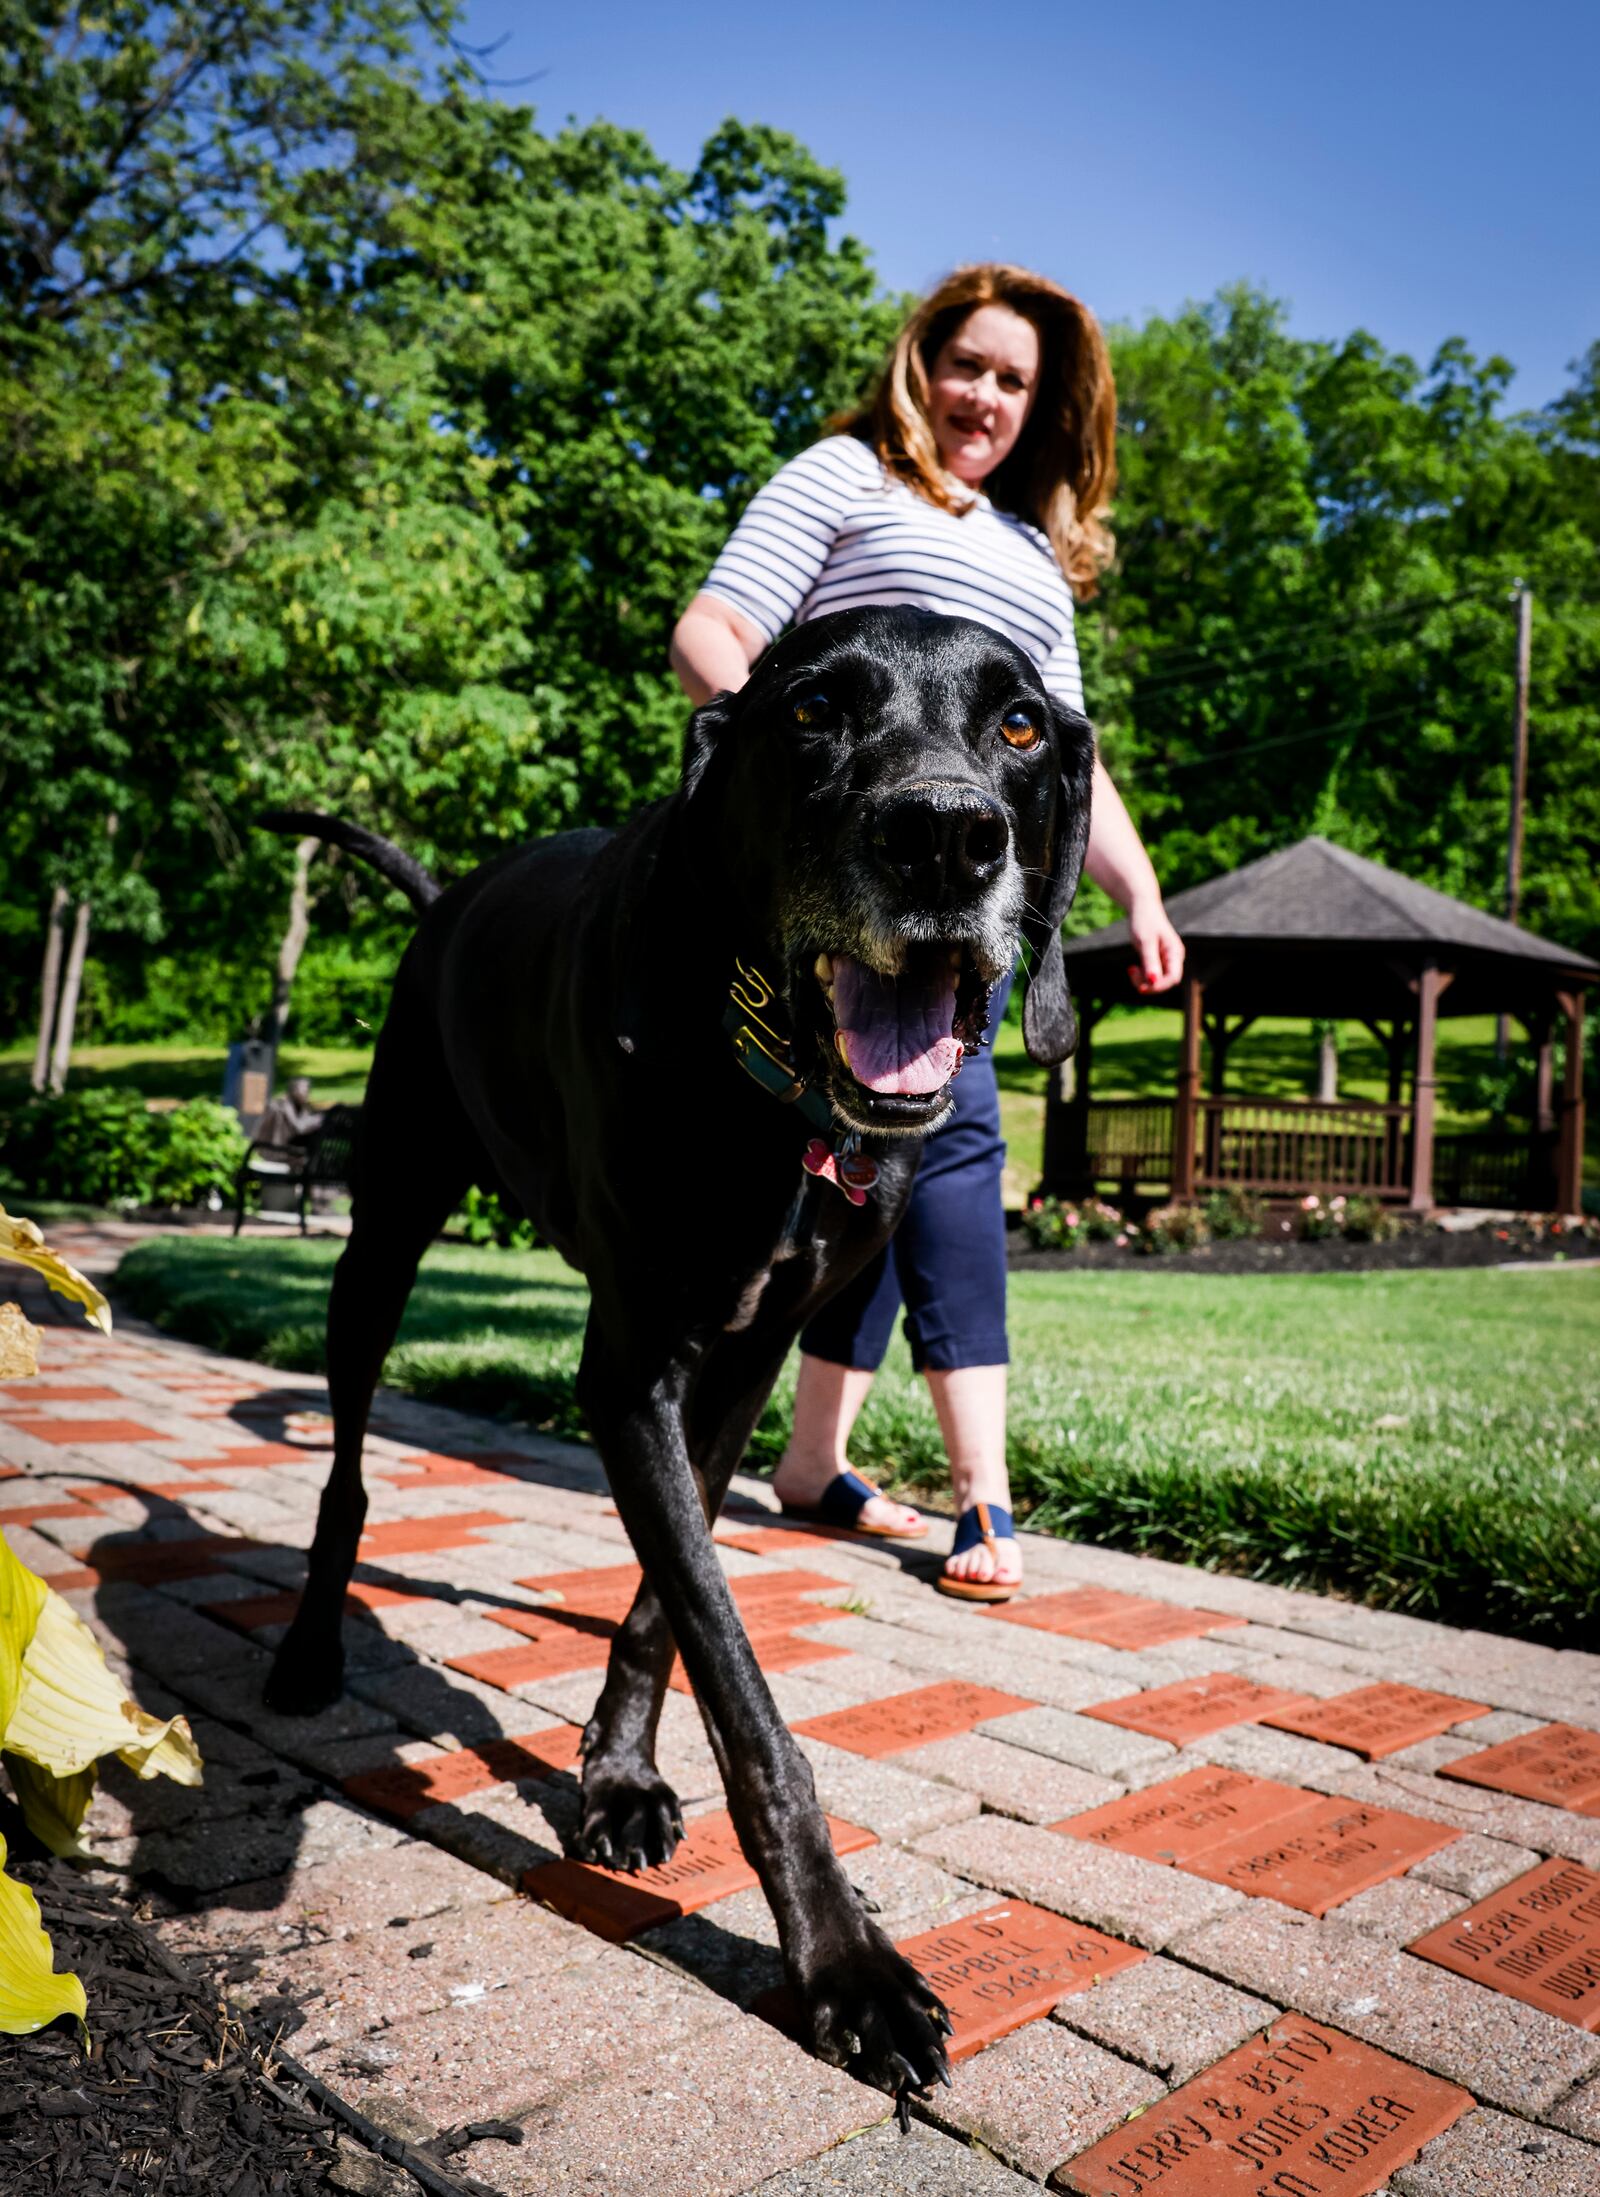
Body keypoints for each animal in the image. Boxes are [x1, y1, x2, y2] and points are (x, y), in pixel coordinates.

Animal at [262, 606, 1094, 2109]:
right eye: (813, 709)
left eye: (1016, 723)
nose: (945, 840)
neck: (778, 1095)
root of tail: (449, 896)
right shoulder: (630, 1366)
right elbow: (747, 1695)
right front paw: (845, 1967)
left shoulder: (744, 1358)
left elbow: (672, 1599)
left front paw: (618, 1777)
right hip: (383, 1232)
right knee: (347, 1468)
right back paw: (304, 1647)